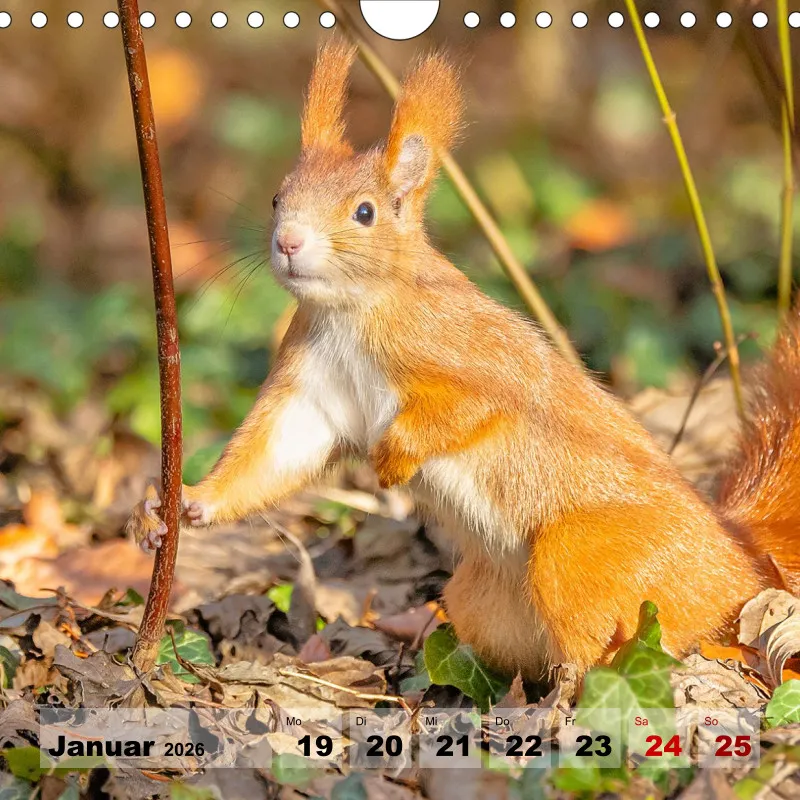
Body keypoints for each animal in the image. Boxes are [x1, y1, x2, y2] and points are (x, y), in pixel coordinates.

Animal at [127, 41, 800, 681]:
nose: (288, 241)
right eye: (275, 198)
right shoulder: (313, 390)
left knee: (622, 648)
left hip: (582, 555)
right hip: (483, 601)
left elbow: (476, 406)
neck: (351, 312)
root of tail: (739, 558)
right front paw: (179, 505)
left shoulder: (468, 354)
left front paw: (392, 458)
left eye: (365, 212)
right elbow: (276, 456)